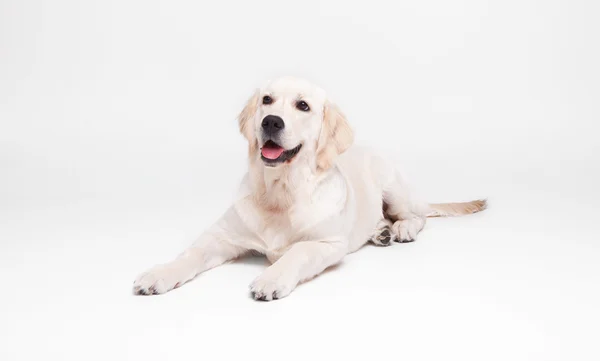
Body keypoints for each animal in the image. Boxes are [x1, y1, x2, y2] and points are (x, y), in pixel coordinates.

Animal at [132, 74, 488, 300]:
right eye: (267, 100)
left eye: (303, 106)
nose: (271, 121)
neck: (279, 193)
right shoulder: (221, 235)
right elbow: (190, 253)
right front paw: (159, 274)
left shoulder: (326, 243)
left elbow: (297, 252)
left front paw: (271, 278)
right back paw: (380, 231)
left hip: (394, 188)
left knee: (418, 216)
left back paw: (400, 230)